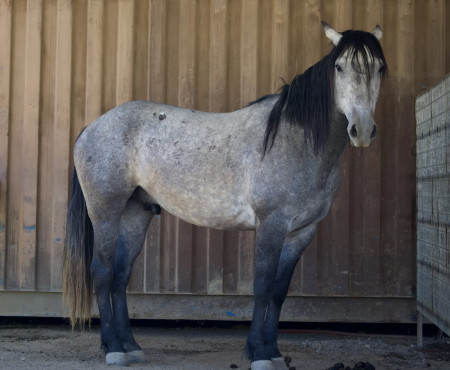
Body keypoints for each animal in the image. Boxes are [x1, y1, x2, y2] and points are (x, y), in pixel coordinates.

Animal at [62, 23, 386, 370]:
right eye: (339, 67)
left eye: (379, 68)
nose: (362, 130)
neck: (293, 141)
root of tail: (92, 127)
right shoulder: (271, 225)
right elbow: (263, 287)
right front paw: (259, 354)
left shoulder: (302, 232)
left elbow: (279, 291)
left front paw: (272, 351)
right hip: (105, 212)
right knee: (102, 272)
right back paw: (113, 348)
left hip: (136, 214)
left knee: (121, 276)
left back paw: (131, 346)